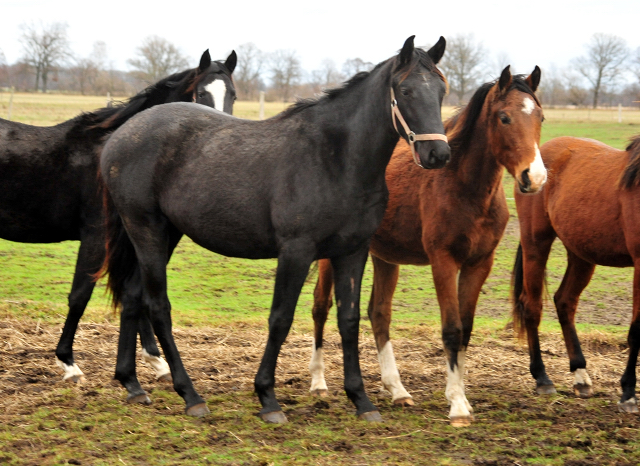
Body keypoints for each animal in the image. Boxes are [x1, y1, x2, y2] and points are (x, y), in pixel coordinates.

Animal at [0, 48, 238, 382]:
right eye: (201, 93)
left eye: (233, 94)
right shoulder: (97, 236)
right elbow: (80, 295)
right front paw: (68, 362)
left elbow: (134, 293)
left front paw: (155, 360)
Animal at [100, 36, 450, 422]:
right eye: (405, 90)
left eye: (441, 90)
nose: (438, 154)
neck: (335, 158)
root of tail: (121, 135)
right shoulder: (296, 251)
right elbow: (280, 319)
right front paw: (267, 397)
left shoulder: (352, 251)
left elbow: (349, 319)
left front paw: (361, 400)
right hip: (146, 230)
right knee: (158, 304)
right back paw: (190, 395)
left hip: (164, 234)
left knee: (133, 295)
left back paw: (132, 383)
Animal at [310, 65, 544, 426]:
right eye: (504, 117)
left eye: (541, 117)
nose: (535, 177)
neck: (463, 185)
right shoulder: (443, 261)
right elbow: (451, 329)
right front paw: (457, 406)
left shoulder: (479, 263)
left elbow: (466, 328)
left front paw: (461, 397)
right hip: (333, 257)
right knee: (320, 307)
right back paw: (319, 384)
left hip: (385, 258)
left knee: (379, 313)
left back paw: (398, 390)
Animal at [512, 136, 640, 416]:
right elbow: (638, 329)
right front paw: (628, 392)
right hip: (536, 243)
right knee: (532, 306)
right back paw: (542, 378)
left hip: (581, 254)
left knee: (565, 301)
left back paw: (580, 375)